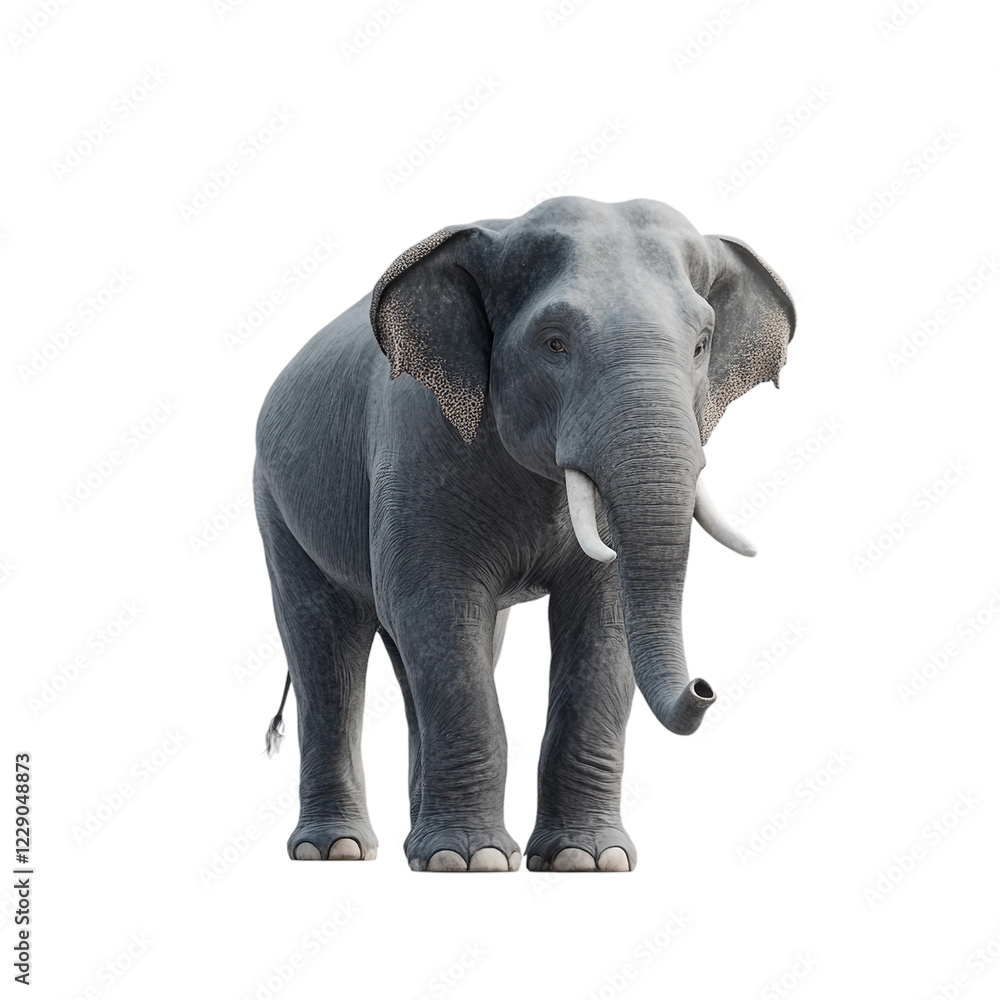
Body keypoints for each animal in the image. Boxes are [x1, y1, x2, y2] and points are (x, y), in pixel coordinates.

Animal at [253, 195, 795, 872]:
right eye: (554, 344)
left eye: (700, 346)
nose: (704, 687)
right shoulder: (417, 442)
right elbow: (434, 603)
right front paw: (471, 862)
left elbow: (601, 616)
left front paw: (586, 862)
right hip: (274, 498)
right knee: (324, 643)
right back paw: (338, 850)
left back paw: (408, 846)